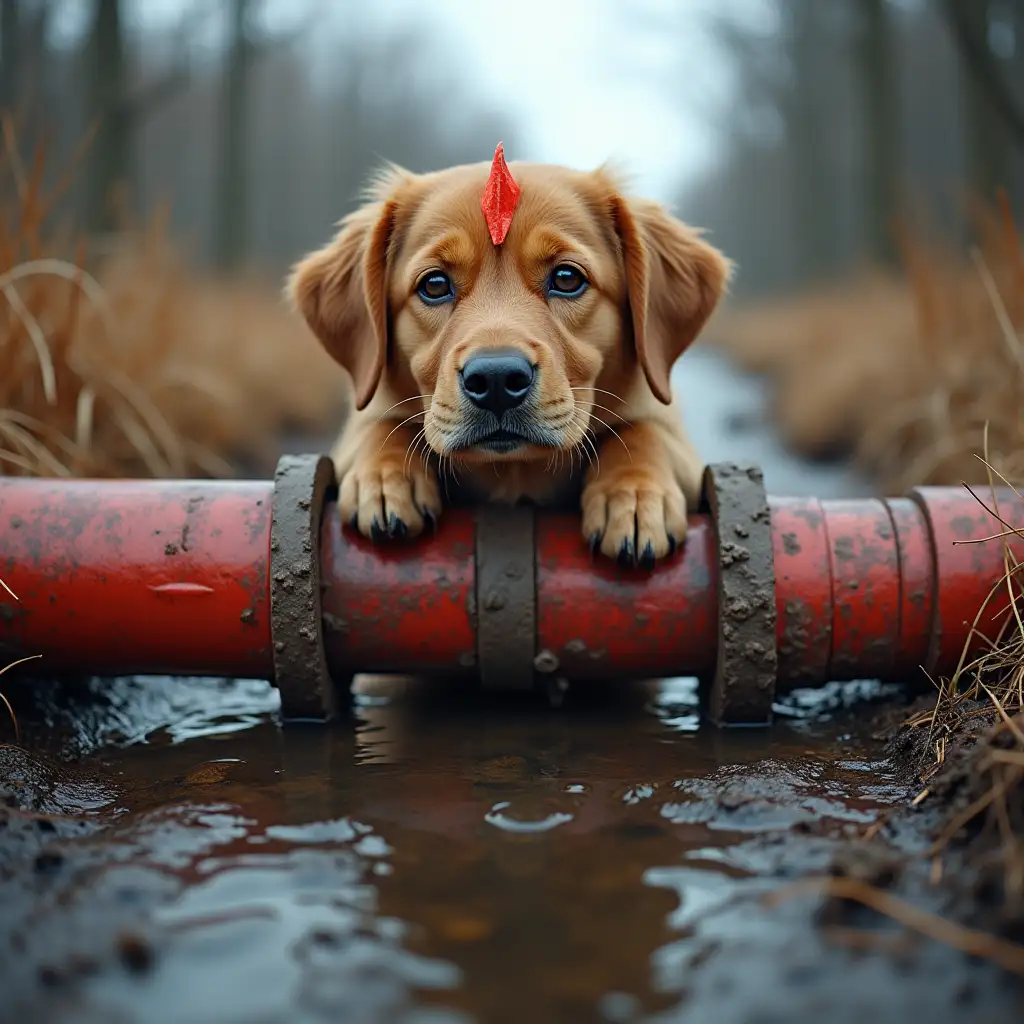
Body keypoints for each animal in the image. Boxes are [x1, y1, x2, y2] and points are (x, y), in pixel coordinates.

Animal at [288, 144, 733, 565]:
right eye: (434, 285)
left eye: (567, 278)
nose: (496, 380)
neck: (515, 471)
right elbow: (379, 423)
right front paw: (382, 476)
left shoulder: (674, 437)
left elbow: (644, 430)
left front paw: (636, 494)